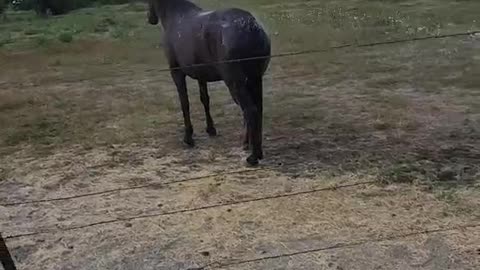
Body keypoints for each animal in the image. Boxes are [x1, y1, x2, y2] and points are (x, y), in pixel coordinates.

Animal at [146, 0, 270, 166]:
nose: (150, 18)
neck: (176, 16)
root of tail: (251, 27)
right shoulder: (201, 76)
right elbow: (205, 100)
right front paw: (211, 129)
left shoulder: (176, 72)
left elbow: (184, 103)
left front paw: (188, 138)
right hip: (254, 80)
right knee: (257, 109)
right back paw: (253, 148)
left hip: (236, 83)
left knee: (250, 110)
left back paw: (253, 156)